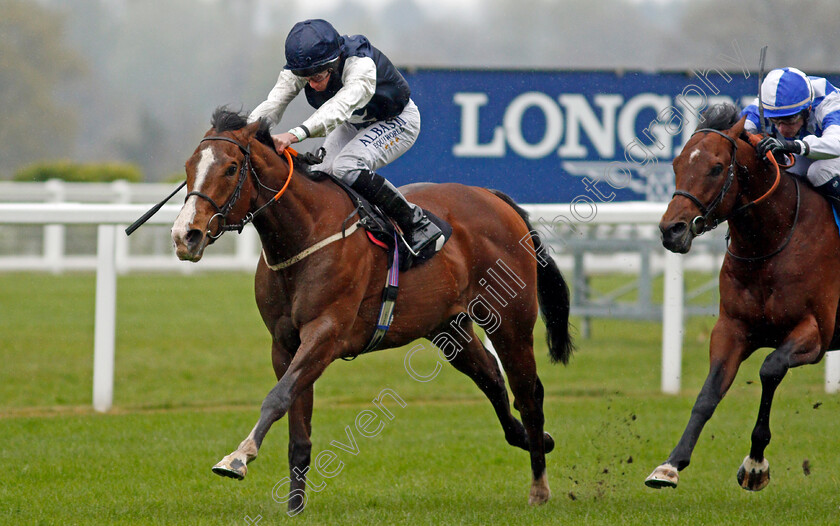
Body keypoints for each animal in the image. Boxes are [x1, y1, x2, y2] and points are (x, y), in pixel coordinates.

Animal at [168, 108, 576, 512]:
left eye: (231, 167)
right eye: (189, 166)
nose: (185, 235)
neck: (306, 232)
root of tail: (493, 197)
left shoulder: (326, 333)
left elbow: (277, 398)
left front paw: (237, 457)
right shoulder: (284, 343)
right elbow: (297, 426)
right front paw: (294, 507)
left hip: (509, 320)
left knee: (528, 393)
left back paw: (539, 486)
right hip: (448, 325)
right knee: (491, 376)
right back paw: (535, 439)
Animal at [648, 105, 840, 492]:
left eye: (716, 167)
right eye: (677, 163)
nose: (671, 230)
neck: (772, 242)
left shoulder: (815, 332)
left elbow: (770, 369)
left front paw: (755, 465)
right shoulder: (732, 328)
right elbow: (708, 394)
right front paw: (671, 464)